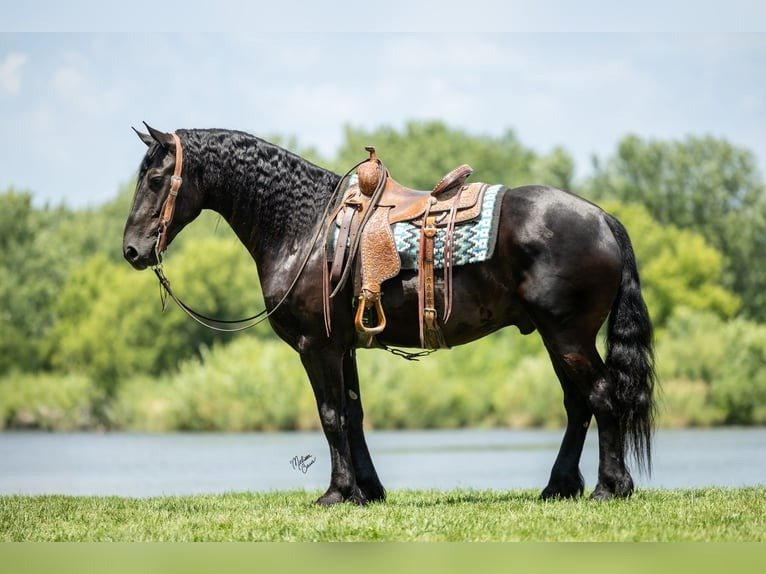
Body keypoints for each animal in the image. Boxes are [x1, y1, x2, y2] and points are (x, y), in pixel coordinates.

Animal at [123, 125, 655, 504]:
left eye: (155, 179)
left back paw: (610, 486)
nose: (131, 250)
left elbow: (330, 415)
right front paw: (369, 491)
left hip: (569, 335)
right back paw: (559, 486)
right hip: (554, 336)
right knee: (578, 404)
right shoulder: (343, 347)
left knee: (602, 396)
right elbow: (353, 414)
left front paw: (337, 493)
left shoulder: (316, 347)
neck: (304, 228)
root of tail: (603, 218)